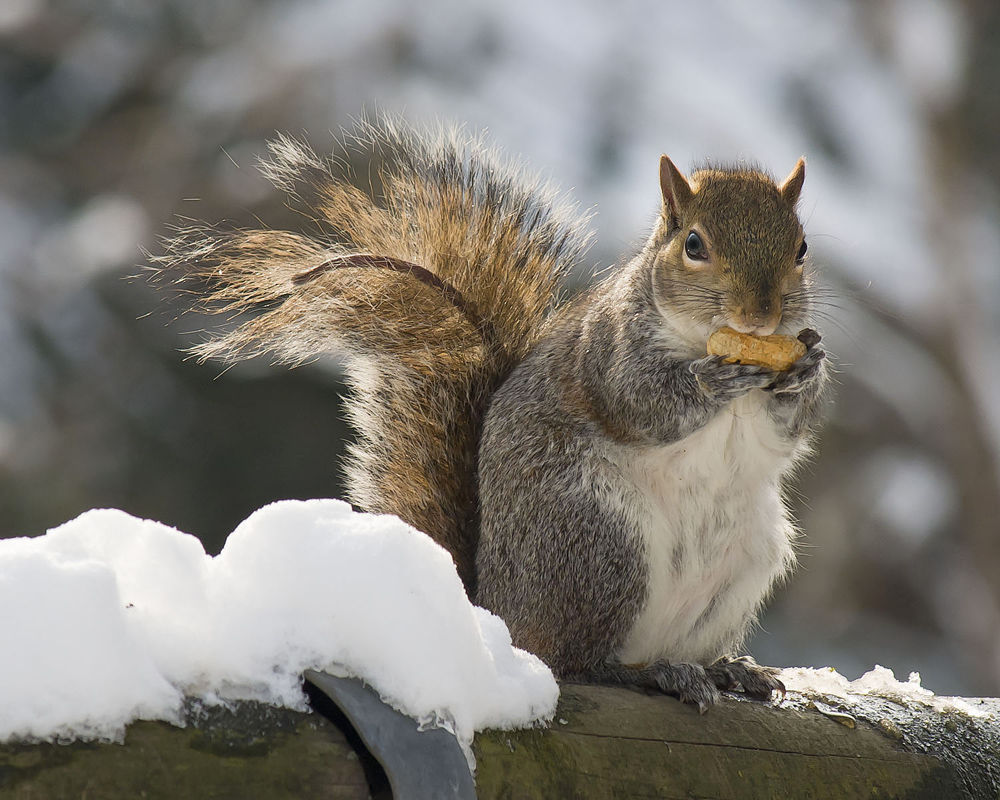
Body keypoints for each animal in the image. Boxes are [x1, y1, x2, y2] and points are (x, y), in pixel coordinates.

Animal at [156, 118, 829, 709]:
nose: (762, 316)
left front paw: (806, 369)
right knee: (579, 659)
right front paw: (710, 378)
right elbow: (641, 402)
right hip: (596, 540)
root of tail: (500, 612)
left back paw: (727, 669)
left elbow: (784, 436)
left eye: (801, 248)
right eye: (693, 245)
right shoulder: (608, 353)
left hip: (742, 561)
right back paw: (652, 674)